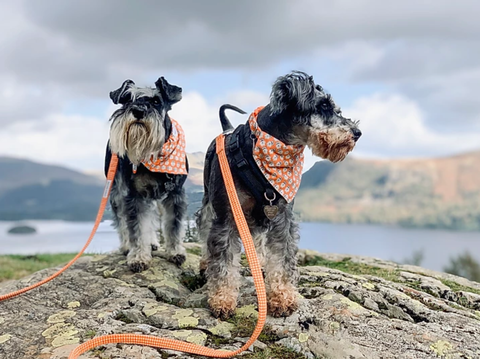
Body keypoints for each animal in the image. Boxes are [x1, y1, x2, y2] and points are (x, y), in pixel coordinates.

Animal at [105, 76, 188, 272]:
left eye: (157, 101)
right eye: (127, 99)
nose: (138, 111)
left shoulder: (175, 194)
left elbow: (173, 225)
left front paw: (175, 252)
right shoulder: (134, 195)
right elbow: (137, 228)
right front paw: (138, 257)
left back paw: (152, 242)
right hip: (117, 192)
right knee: (122, 220)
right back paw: (127, 245)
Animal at [197, 71, 362, 320]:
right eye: (323, 105)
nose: (357, 133)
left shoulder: (282, 217)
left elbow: (282, 260)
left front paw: (283, 298)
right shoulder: (227, 216)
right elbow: (224, 262)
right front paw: (222, 300)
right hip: (210, 203)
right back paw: (206, 263)